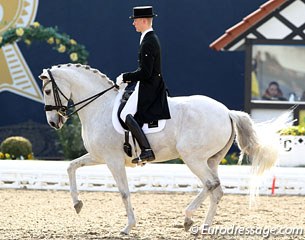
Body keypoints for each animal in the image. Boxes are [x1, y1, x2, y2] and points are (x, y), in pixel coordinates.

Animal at [39, 63, 284, 234]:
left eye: (48, 91)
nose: (53, 122)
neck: (99, 107)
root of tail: (227, 112)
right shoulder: (99, 156)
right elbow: (71, 167)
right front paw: (77, 204)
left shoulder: (113, 160)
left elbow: (124, 192)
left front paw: (128, 227)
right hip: (211, 160)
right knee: (216, 189)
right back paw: (202, 226)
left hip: (192, 157)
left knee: (210, 184)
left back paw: (189, 217)